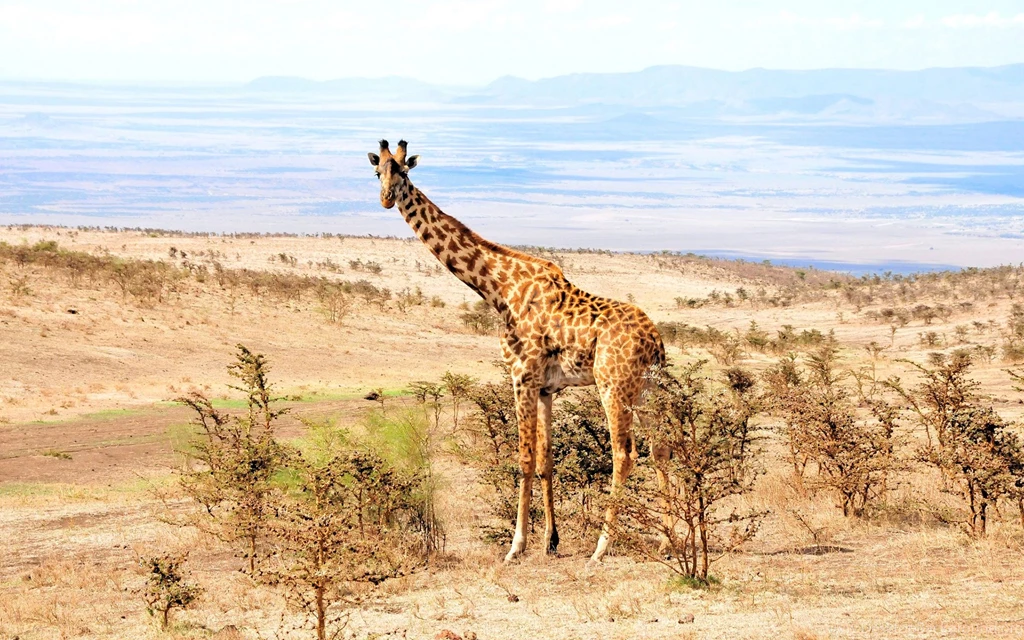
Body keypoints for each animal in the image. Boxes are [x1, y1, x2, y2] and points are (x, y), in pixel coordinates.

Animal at [368, 140, 666, 562]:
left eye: (404, 173)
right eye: (378, 172)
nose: (386, 199)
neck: (498, 288)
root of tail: (656, 341)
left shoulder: (521, 376)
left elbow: (523, 459)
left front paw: (516, 546)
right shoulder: (545, 388)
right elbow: (545, 461)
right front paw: (550, 542)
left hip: (614, 386)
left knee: (624, 454)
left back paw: (601, 548)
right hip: (647, 389)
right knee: (661, 448)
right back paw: (671, 540)